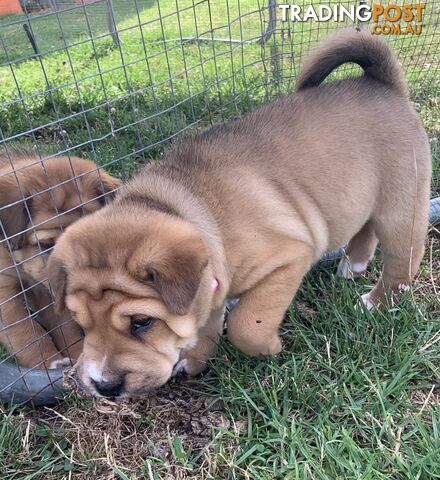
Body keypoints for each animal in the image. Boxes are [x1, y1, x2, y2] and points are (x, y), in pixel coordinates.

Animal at [0, 152, 121, 370]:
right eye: (47, 245)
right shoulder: (6, 293)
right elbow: (28, 335)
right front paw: (48, 364)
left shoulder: (47, 290)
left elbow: (65, 327)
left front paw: (78, 356)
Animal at [47, 28, 430, 400]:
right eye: (80, 324)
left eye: (142, 322)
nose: (105, 387)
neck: (192, 211)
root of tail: (381, 84)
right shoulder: (210, 289)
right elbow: (205, 327)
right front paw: (194, 360)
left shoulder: (287, 259)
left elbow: (247, 325)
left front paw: (268, 348)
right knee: (365, 230)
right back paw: (353, 266)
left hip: (401, 207)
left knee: (402, 264)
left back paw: (374, 302)